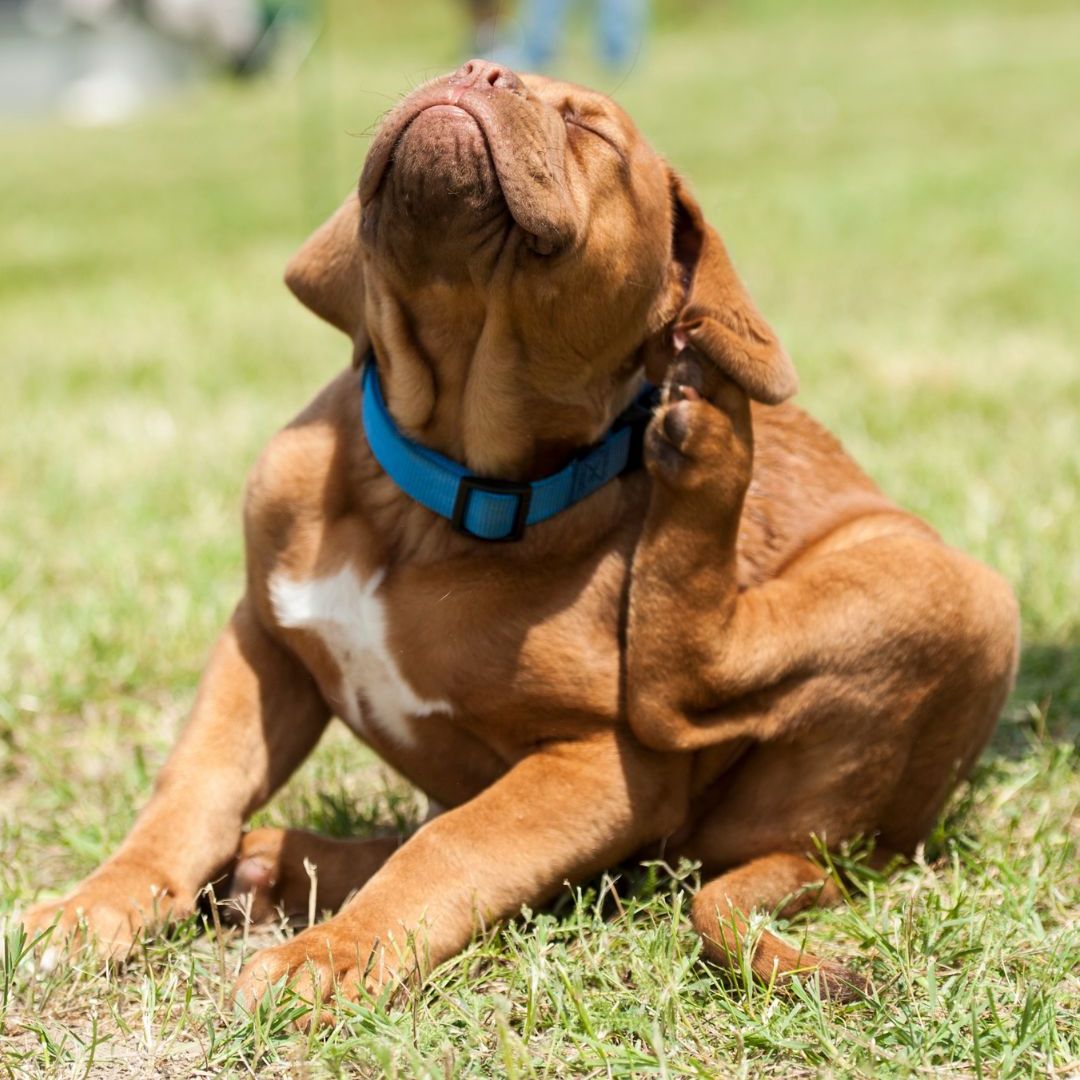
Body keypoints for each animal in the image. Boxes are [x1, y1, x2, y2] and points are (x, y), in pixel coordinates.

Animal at [25, 63, 1019, 1015]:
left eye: (592, 131)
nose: (480, 70)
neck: (430, 493)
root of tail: (841, 851)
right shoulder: (262, 639)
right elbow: (192, 790)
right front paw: (95, 906)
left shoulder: (604, 766)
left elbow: (456, 847)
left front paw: (333, 958)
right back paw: (281, 864)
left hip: (951, 591)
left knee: (684, 694)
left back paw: (711, 442)